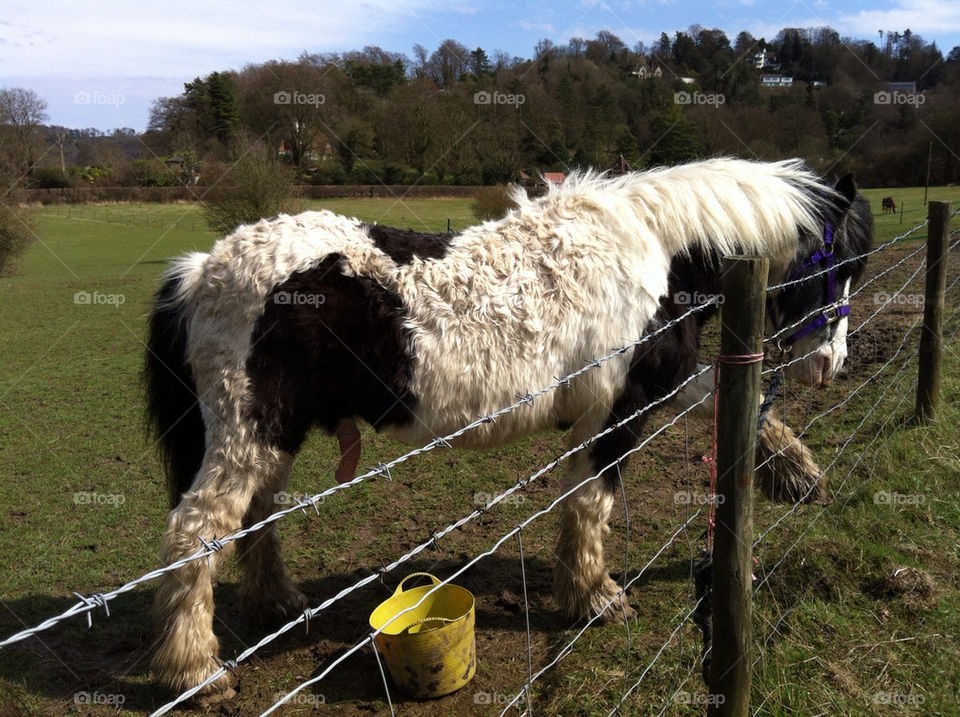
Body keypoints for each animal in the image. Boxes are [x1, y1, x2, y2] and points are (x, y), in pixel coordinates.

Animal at [144, 157, 873, 701]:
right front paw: (594, 597)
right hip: (249, 435)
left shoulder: (656, 386)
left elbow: (730, 408)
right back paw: (197, 671)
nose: (830, 364)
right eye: (835, 265)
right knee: (195, 532)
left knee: (254, 519)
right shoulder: (619, 410)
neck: (657, 253)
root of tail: (201, 267)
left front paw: (799, 476)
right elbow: (592, 503)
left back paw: (277, 605)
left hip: (272, 438)